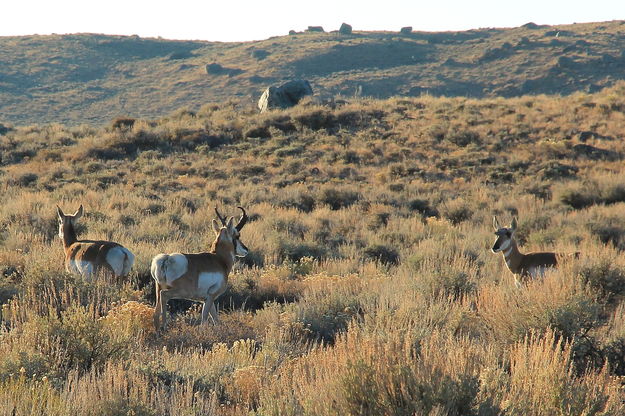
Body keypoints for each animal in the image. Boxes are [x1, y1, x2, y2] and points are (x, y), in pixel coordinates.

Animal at [150, 206, 247, 334]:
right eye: (237, 235)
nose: (246, 250)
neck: (219, 259)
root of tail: (166, 258)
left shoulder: (207, 299)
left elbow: (215, 319)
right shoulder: (210, 297)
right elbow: (204, 319)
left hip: (159, 290)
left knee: (156, 312)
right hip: (179, 291)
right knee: (164, 296)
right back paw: (164, 327)